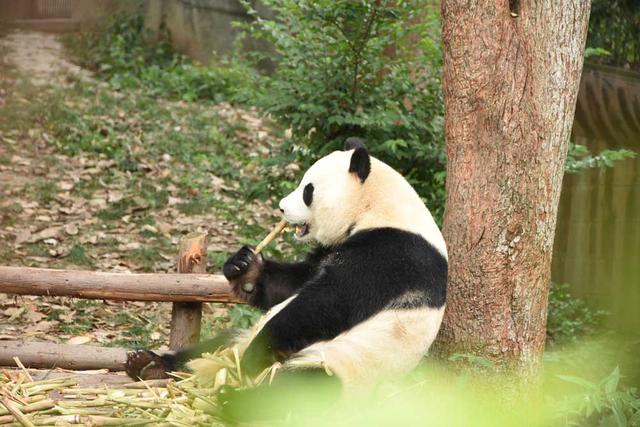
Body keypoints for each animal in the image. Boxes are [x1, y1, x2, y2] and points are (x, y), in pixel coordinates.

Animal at [124, 140, 444, 422]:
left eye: (308, 190)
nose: (281, 208)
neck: (377, 207)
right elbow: (293, 284)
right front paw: (244, 266)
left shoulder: (391, 254)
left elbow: (327, 302)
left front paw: (255, 356)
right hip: (239, 339)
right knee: (212, 345)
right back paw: (150, 364)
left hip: (341, 367)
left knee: (303, 388)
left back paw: (233, 398)